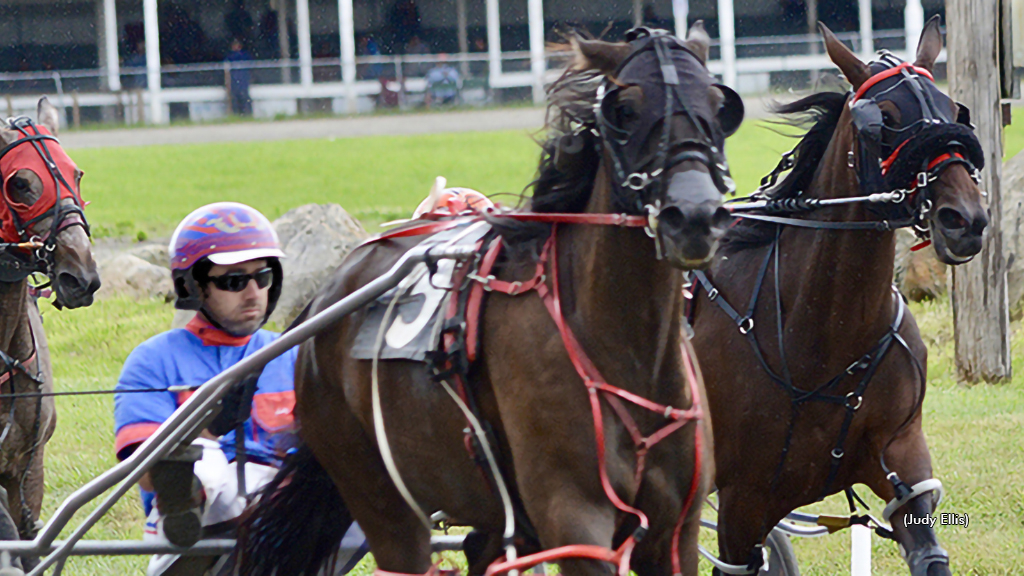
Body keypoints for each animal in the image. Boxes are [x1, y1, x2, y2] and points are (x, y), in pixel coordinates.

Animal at [237, 24, 745, 573]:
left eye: (719, 105)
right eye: (626, 110)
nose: (694, 217)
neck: (627, 349)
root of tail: (324, 299)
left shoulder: (675, 530)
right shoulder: (576, 522)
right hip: (376, 492)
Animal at [692, 17, 987, 573]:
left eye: (951, 109)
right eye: (885, 119)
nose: (966, 220)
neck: (820, 334)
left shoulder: (902, 459)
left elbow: (928, 550)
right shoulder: (742, 501)